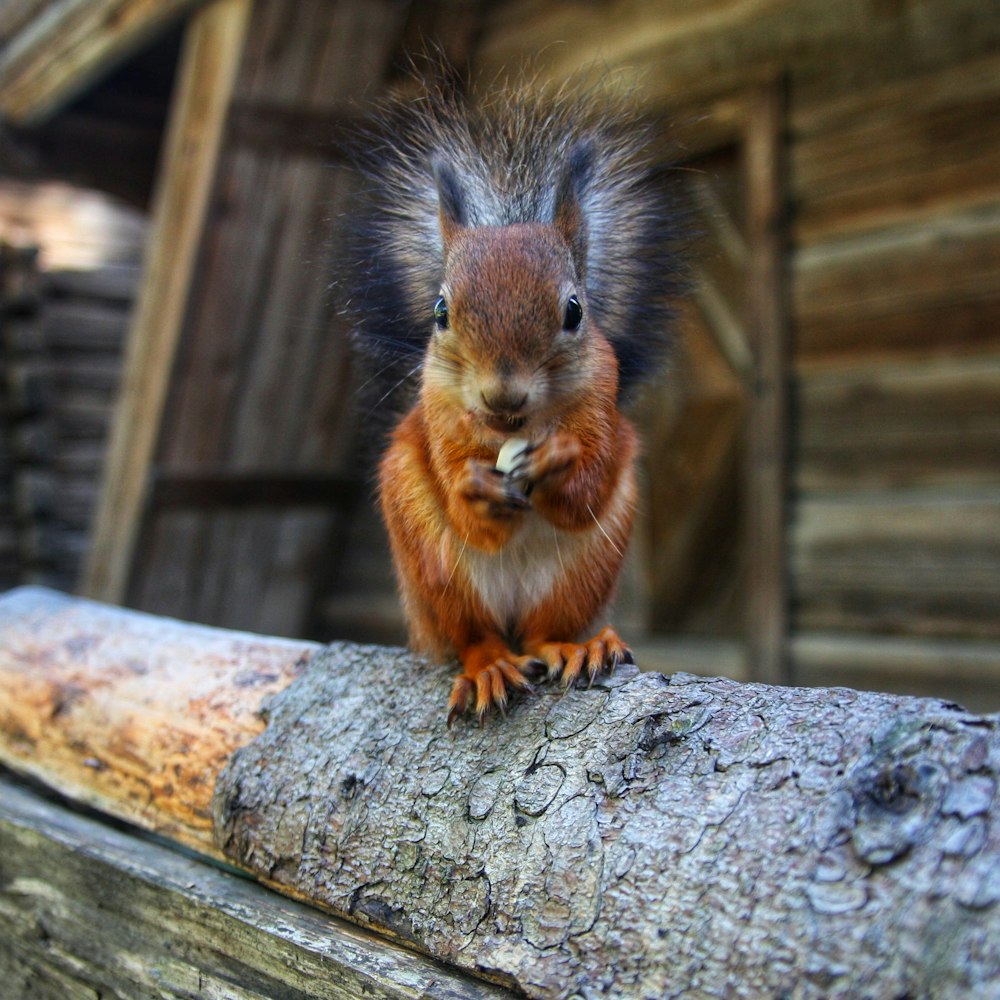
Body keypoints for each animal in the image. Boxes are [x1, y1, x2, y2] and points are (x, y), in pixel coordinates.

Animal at [344, 76, 680, 720]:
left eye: (574, 311)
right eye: (441, 312)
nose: (503, 394)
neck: (512, 432)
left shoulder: (602, 406)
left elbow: (585, 492)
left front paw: (558, 462)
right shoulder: (438, 418)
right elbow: (469, 513)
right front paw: (476, 488)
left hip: (586, 571)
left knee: (547, 630)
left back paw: (576, 647)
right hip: (435, 572)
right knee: (474, 636)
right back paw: (488, 668)